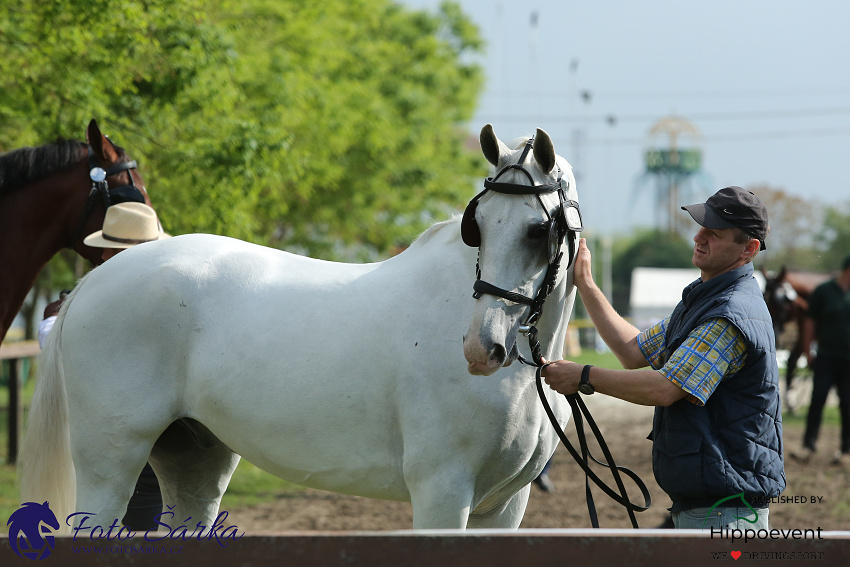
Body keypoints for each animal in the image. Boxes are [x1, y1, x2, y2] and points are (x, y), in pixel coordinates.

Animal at [21, 124, 576, 532]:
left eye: (538, 230)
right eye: (476, 224)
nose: (482, 348)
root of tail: (94, 281)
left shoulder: (503, 506)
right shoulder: (442, 491)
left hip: (193, 458)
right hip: (109, 463)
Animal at [760, 266, 828, 412]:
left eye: (780, 302)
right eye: (764, 297)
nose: (772, 328)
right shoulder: (806, 333)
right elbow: (792, 360)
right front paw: (790, 399)